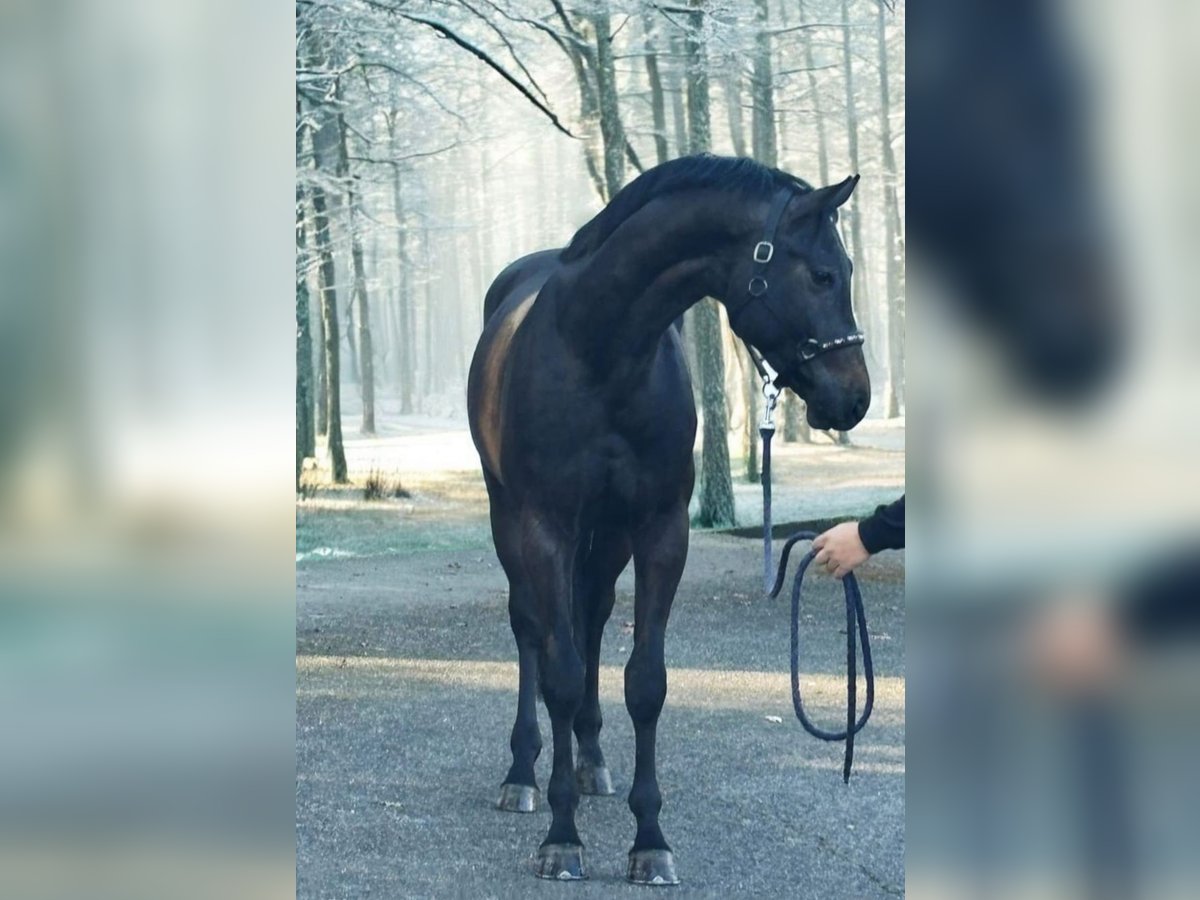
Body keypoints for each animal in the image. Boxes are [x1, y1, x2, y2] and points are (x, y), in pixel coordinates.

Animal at [463, 157, 868, 888]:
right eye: (823, 274)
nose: (855, 397)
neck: (598, 350)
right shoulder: (544, 527)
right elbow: (559, 671)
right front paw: (562, 838)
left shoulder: (657, 530)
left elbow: (644, 682)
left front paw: (649, 839)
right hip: (508, 516)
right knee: (533, 630)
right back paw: (523, 773)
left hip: (607, 537)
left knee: (592, 619)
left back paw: (593, 762)